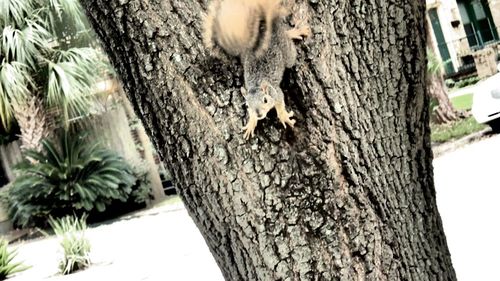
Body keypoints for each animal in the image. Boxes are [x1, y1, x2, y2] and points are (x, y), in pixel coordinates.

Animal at [202, 0, 310, 139]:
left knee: (288, 44)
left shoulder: (276, 92)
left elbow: (280, 103)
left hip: (287, 53)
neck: (257, 84)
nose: (259, 114)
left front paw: (284, 116)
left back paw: (294, 32)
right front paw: (251, 123)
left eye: (265, 100)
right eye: (248, 105)